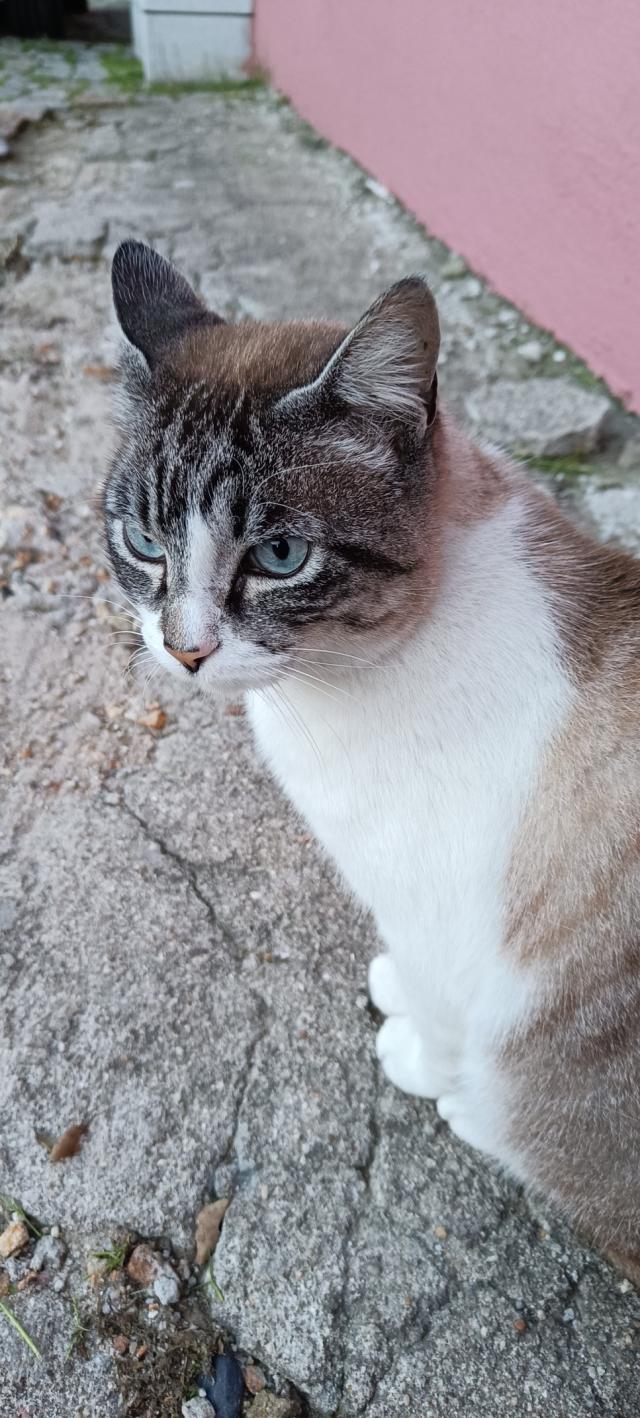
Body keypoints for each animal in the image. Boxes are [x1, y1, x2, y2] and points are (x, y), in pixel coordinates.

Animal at [104, 238, 640, 1281]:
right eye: (143, 542)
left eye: (279, 556)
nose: (184, 651)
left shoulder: (443, 918)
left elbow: (437, 1008)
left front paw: (417, 1061)